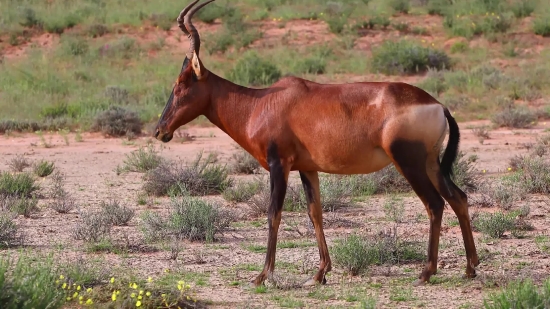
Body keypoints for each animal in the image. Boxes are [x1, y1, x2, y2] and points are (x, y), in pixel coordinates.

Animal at [154, 0, 478, 288]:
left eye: (181, 84)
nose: (160, 130)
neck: (263, 102)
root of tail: (438, 105)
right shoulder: (307, 168)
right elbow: (315, 213)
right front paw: (319, 274)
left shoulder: (279, 165)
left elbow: (273, 213)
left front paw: (261, 276)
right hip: (430, 163)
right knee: (458, 197)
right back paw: (470, 268)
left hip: (408, 162)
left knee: (435, 204)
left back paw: (426, 273)